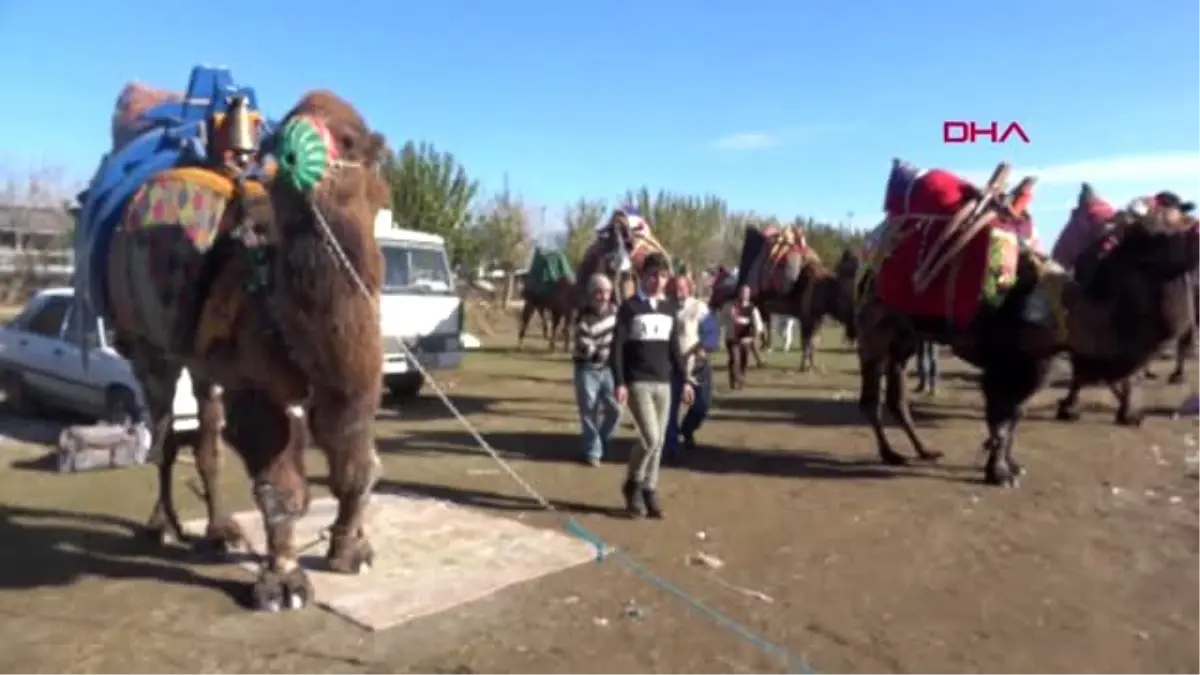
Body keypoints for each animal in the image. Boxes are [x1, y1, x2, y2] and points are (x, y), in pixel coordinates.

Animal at [100, 86, 388, 607]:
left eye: (350, 138)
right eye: (283, 125)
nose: (294, 147)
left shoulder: (353, 374)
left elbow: (354, 454)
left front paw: (350, 551)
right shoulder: (259, 383)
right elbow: (282, 482)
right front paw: (284, 584)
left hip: (205, 362)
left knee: (207, 434)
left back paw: (221, 532)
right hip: (147, 345)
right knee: (164, 433)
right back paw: (161, 526)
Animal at [854, 163, 1200, 485]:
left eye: (1181, 219)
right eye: (1160, 234)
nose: (1195, 234)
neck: (1068, 312)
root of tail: (873, 242)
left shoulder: (1038, 360)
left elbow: (1016, 415)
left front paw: (1011, 465)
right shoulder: (1005, 361)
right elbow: (1001, 417)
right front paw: (999, 473)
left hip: (905, 335)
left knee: (897, 396)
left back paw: (924, 450)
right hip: (874, 324)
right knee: (871, 398)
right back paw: (891, 454)